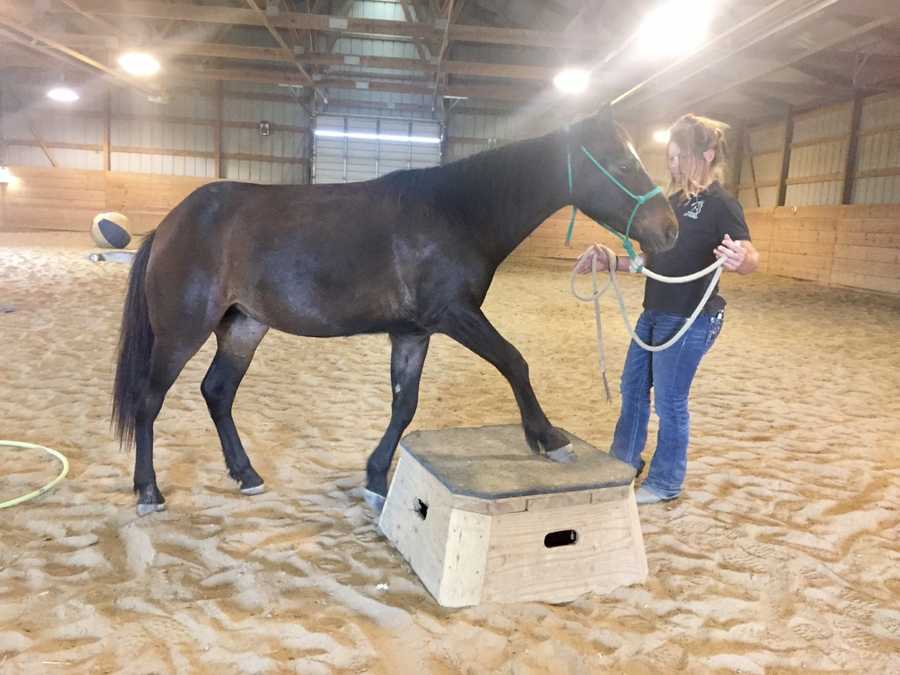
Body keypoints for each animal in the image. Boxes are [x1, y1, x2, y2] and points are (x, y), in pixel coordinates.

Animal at [112, 108, 678, 516]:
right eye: (623, 164)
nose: (670, 229)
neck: (455, 213)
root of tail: (171, 223)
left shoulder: (413, 333)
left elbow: (404, 406)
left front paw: (377, 478)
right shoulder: (455, 315)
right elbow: (514, 361)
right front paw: (549, 438)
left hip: (244, 326)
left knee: (217, 392)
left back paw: (247, 475)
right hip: (182, 332)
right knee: (149, 400)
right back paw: (149, 492)